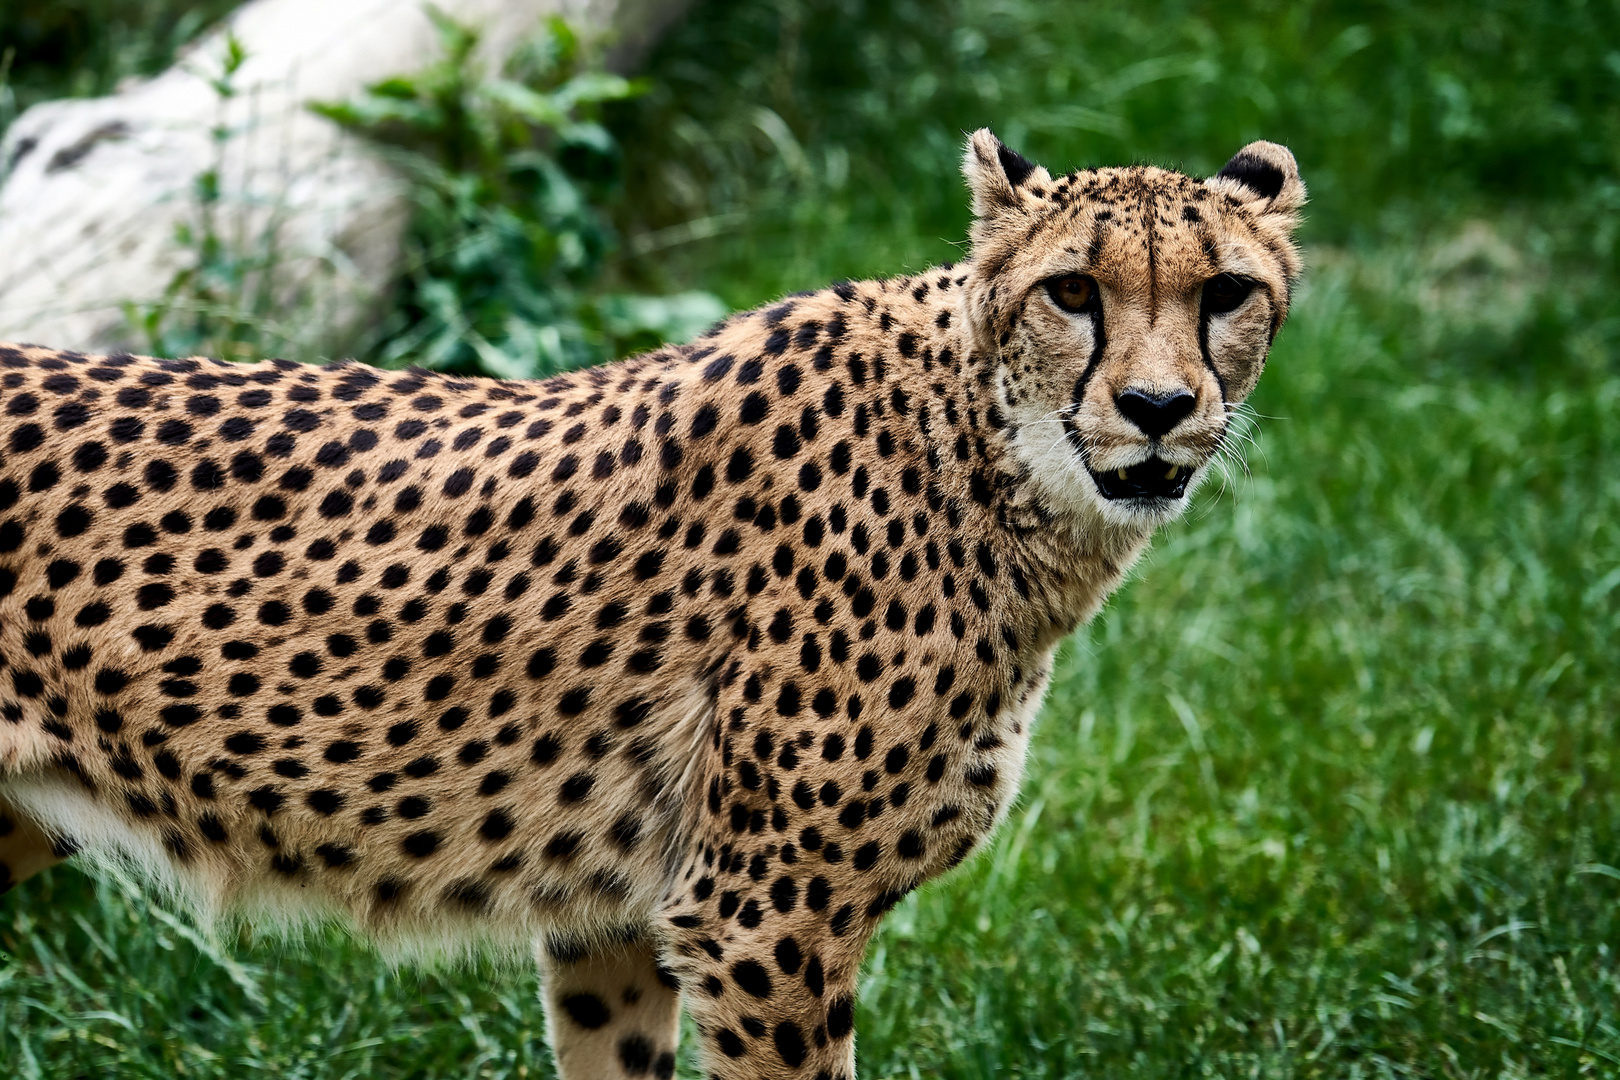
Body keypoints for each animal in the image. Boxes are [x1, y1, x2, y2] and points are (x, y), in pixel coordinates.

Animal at [0, 131, 1296, 1075]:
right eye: (1072, 290)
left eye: (1226, 292)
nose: (1159, 408)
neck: (989, 453)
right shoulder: (767, 915)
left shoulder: (623, 917)